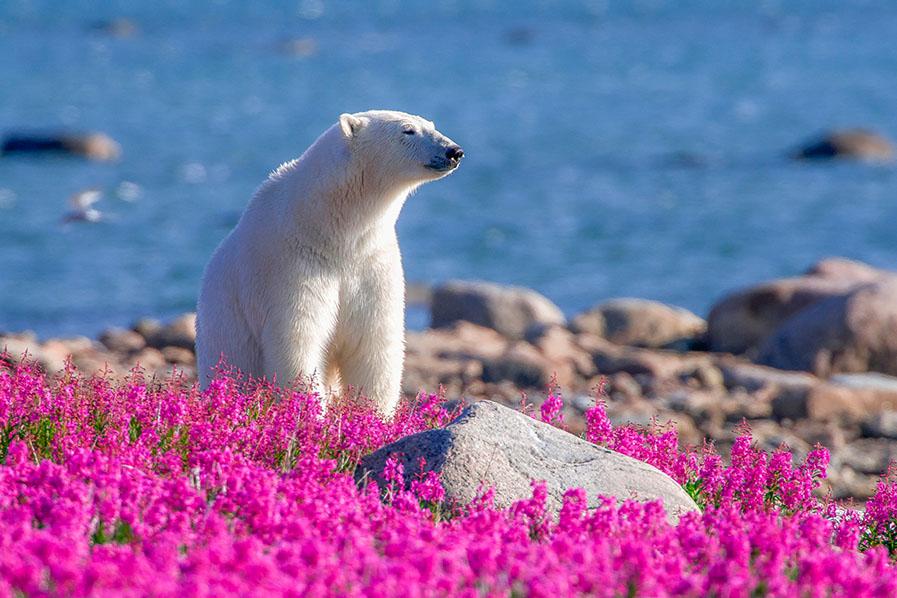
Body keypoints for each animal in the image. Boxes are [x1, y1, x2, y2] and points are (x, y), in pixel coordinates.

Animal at [195, 110, 463, 416]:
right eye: (408, 130)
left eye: (431, 125)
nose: (454, 151)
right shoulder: (290, 263)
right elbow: (298, 341)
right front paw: (312, 415)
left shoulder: (371, 262)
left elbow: (374, 344)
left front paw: (373, 416)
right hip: (225, 334)